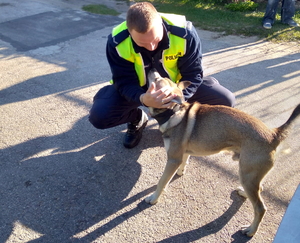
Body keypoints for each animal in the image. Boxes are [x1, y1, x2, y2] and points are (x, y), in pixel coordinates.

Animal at [144, 69, 298, 236]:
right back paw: (244, 194)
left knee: (260, 208)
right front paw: (180, 172)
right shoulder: (182, 154)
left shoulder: (173, 159)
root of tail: (273, 134)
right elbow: (183, 163)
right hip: (251, 176)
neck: (173, 112)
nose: (151, 69)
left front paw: (153, 198)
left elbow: (161, 181)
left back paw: (251, 230)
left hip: (247, 174)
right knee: (260, 189)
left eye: (157, 79)